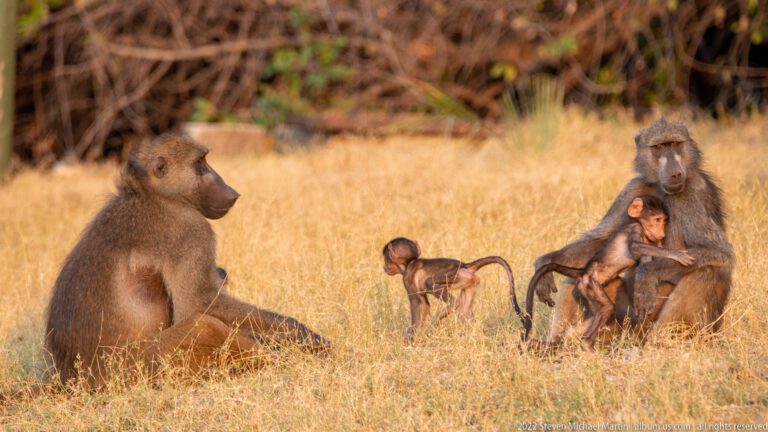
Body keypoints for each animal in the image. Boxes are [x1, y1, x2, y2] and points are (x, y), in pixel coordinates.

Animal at [45, 134, 331, 389]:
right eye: (200, 163)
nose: (232, 192)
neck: (153, 194)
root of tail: (72, 378)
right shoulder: (191, 229)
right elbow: (196, 304)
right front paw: (299, 336)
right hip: (137, 367)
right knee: (205, 326)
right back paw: (275, 359)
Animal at [382, 237, 524, 336]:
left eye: (386, 260)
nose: (384, 267)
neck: (409, 263)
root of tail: (464, 265)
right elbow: (424, 304)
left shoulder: (407, 278)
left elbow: (419, 303)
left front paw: (412, 337)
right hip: (470, 281)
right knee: (463, 310)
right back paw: (475, 334)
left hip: (454, 275)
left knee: (430, 284)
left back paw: (447, 310)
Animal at [523, 195, 695, 347]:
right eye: (657, 220)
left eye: (664, 221)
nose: (662, 234)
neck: (637, 222)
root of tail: (583, 271)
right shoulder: (635, 228)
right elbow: (634, 247)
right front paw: (675, 254)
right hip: (589, 284)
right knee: (607, 309)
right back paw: (586, 345)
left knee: (594, 316)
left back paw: (569, 338)